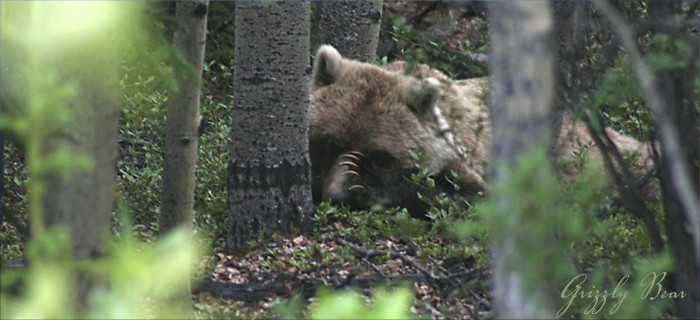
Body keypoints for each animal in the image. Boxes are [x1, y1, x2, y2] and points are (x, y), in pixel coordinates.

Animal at [308, 44, 652, 215]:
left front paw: (366, 185)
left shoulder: (465, 157)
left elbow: (469, 198)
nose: (336, 196)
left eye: (379, 156)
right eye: (331, 143)